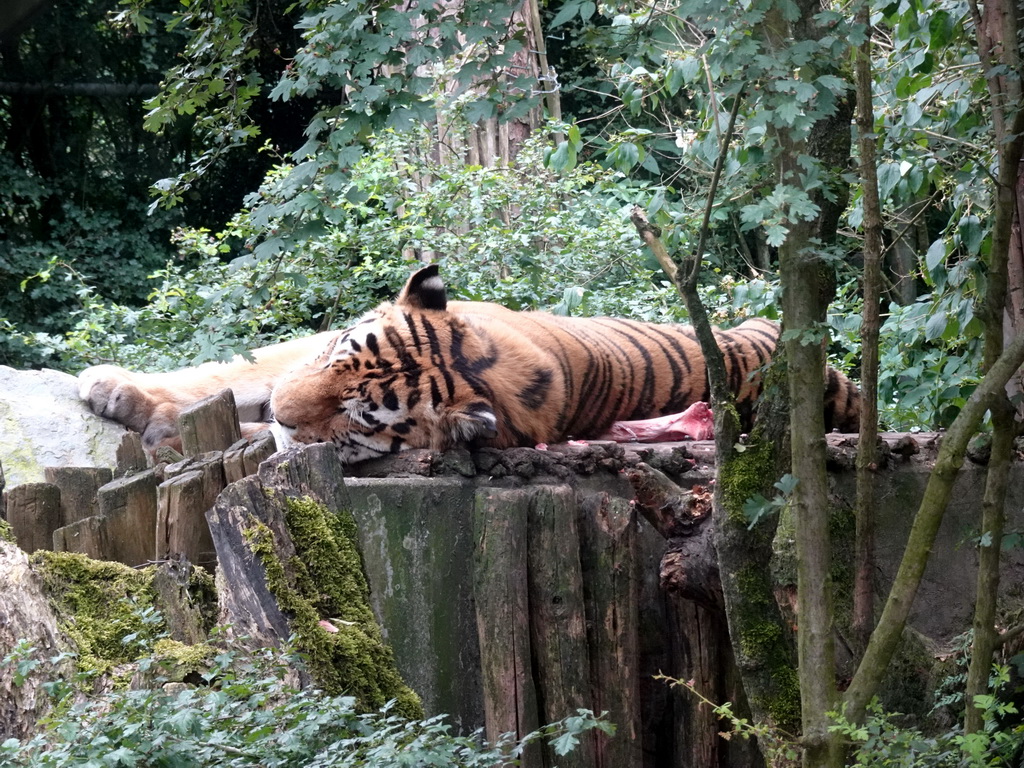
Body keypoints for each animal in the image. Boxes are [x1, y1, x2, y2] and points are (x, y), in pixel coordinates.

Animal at [79, 268, 860, 466]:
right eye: (337, 359)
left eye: (359, 416)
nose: (283, 415)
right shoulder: (302, 353)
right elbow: (234, 372)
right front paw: (113, 388)